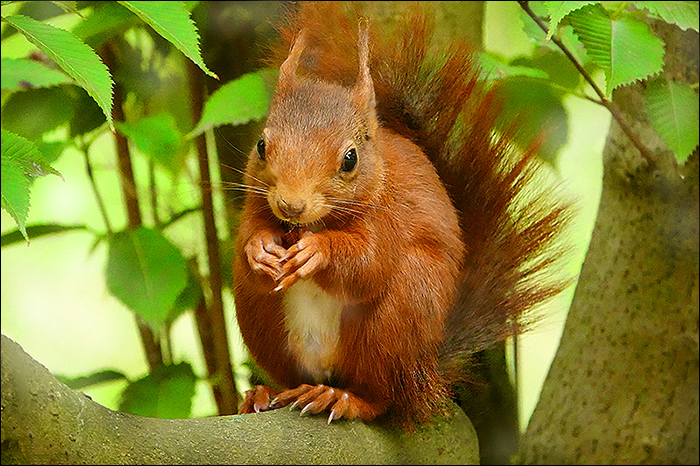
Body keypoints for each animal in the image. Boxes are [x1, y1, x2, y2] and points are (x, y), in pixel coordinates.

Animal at [233, 2, 568, 425]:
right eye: (261, 145)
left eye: (350, 159)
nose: (291, 205)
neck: (309, 225)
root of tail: (424, 372)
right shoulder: (255, 205)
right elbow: (250, 235)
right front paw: (259, 249)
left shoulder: (390, 219)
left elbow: (369, 264)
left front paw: (318, 251)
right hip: (261, 320)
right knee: (290, 374)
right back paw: (265, 392)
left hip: (396, 319)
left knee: (382, 397)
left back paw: (342, 398)